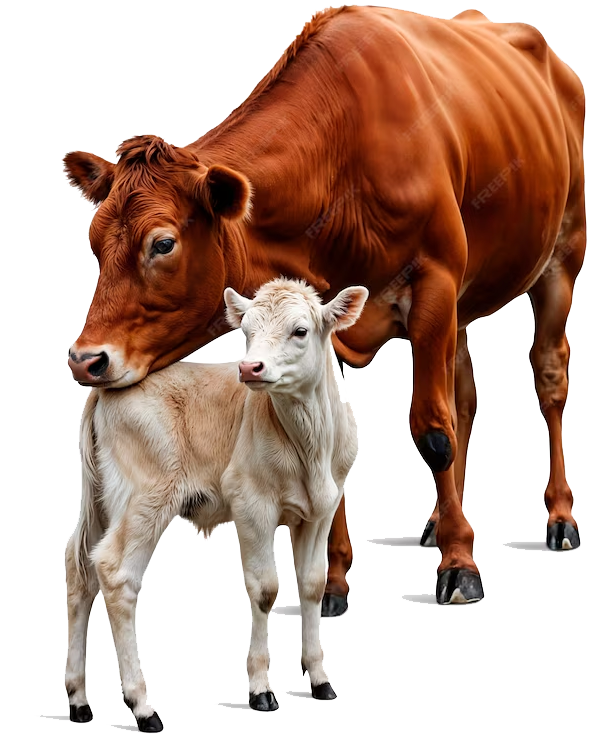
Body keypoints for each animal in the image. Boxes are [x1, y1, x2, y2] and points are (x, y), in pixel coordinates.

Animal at [63, 6, 586, 610]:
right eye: (93, 241)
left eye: (163, 243)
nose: (85, 359)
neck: (342, 165)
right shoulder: (332, 317)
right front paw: (333, 580)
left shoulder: (433, 283)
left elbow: (433, 432)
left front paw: (460, 565)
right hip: (464, 301)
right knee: (466, 396)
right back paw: (438, 518)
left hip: (562, 257)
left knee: (548, 377)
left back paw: (559, 516)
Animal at [64, 278, 368, 730]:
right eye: (247, 331)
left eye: (300, 330)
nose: (249, 368)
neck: (312, 446)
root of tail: (107, 388)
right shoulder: (250, 502)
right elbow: (266, 588)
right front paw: (260, 688)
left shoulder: (322, 508)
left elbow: (312, 584)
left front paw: (320, 678)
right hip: (147, 494)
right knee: (115, 572)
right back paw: (142, 705)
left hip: (101, 497)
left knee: (79, 566)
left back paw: (78, 699)